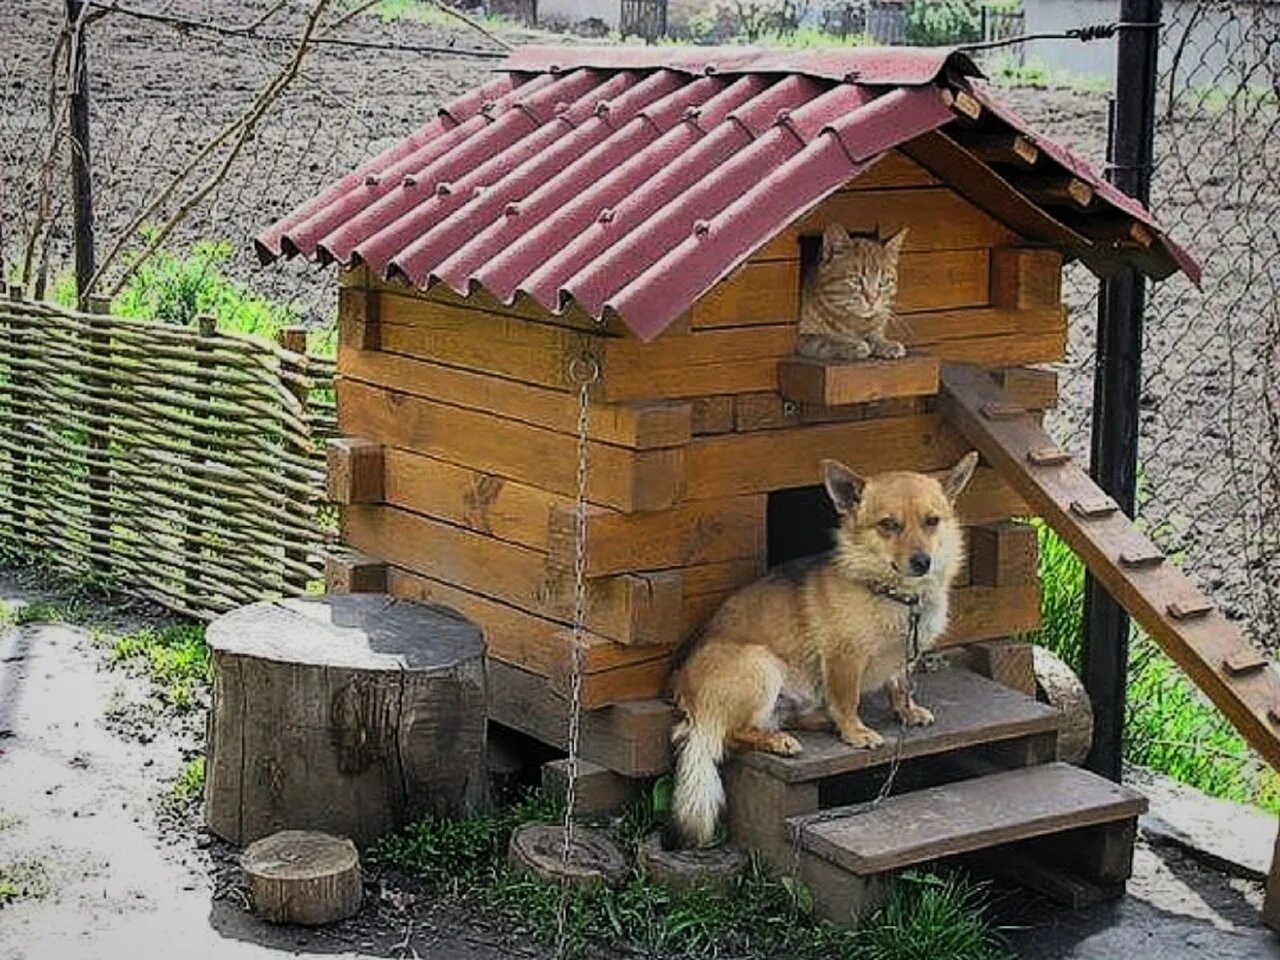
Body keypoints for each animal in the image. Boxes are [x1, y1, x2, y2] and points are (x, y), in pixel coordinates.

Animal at [670, 455, 977, 844]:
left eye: (932, 521)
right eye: (888, 525)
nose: (923, 562)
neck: (895, 594)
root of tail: (687, 701)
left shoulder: (903, 657)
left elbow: (900, 687)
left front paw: (907, 712)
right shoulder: (844, 659)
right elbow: (847, 700)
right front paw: (856, 733)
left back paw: (814, 720)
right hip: (761, 665)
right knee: (732, 734)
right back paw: (779, 741)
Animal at [798, 224, 911, 363]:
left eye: (884, 282)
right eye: (856, 280)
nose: (872, 300)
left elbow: (874, 336)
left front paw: (886, 343)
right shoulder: (801, 339)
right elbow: (825, 339)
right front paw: (851, 343)